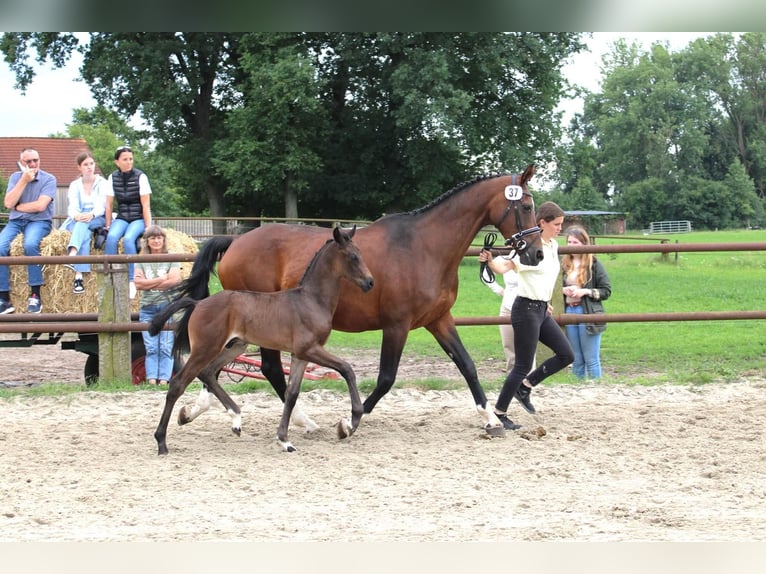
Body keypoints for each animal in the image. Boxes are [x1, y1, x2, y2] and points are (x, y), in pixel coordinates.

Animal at [148, 227, 376, 456]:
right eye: (353, 257)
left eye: (361, 254)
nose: (370, 282)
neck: (311, 300)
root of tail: (198, 303)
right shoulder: (310, 349)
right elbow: (347, 369)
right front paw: (352, 421)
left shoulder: (300, 355)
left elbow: (291, 393)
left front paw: (285, 440)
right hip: (206, 348)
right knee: (179, 383)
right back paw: (161, 442)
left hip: (235, 346)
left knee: (208, 372)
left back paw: (236, 419)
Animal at [176, 165, 544, 436]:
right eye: (526, 206)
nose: (537, 253)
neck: (424, 247)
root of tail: (234, 243)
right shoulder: (396, 325)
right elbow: (386, 378)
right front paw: (349, 421)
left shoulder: (439, 320)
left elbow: (467, 366)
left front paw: (492, 420)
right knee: (268, 369)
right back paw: (301, 421)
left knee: (223, 367)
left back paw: (196, 410)